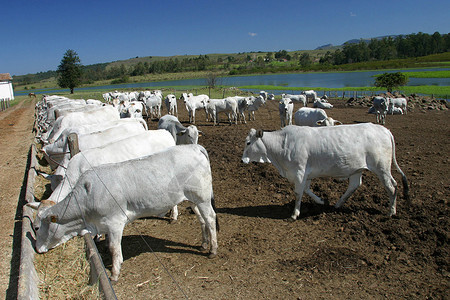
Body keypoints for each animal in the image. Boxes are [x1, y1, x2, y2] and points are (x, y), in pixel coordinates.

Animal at [27, 144, 219, 282]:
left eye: (37, 227)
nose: (37, 248)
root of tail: (194, 147)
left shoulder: (115, 222)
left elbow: (114, 248)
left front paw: (114, 273)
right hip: (193, 199)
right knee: (202, 220)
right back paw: (203, 243)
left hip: (202, 198)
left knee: (210, 218)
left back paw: (212, 249)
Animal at [244, 124, 410, 220]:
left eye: (248, 142)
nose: (242, 159)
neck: (283, 145)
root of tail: (384, 130)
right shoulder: (306, 175)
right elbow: (306, 190)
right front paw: (321, 201)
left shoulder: (299, 172)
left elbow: (298, 193)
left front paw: (294, 214)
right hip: (357, 169)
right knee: (355, 185)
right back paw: (337, 204)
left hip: (382, 168)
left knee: (392, 186)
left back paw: (391, 212)